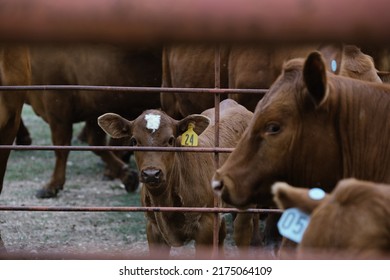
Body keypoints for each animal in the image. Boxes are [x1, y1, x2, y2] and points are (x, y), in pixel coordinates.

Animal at [26, 44, 162, 197]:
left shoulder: (57, 106)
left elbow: (61, 149)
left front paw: (52, 186)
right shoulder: (95, 110)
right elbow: (97, 145)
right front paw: (128, 176)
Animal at [98, 98, 253, 256]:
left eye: (171, 140)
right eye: (134, 141)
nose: (151, 174)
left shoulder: (206, 226)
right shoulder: (153, 228)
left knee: (242, 232)